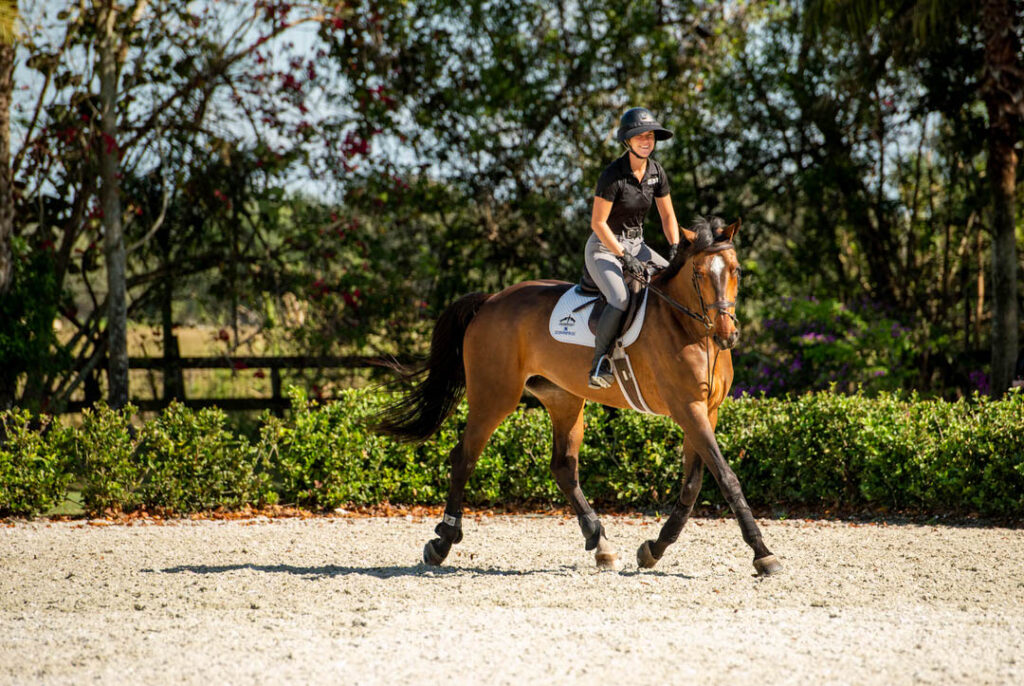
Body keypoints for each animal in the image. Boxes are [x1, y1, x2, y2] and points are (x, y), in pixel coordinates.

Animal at [372, 218, 778, 577]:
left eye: (736, 271)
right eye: (699, 274)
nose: (727, 334)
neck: (692, 329)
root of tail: (490, 301)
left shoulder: (706, 411)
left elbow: (693, 484)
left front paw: (654, 549)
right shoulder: (687, 409)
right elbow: (725, 477)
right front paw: (762, 553)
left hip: (564, 399)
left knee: (563, 468)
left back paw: (600, 544)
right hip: (494, 396)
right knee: (464, 458)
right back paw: (442, 542)